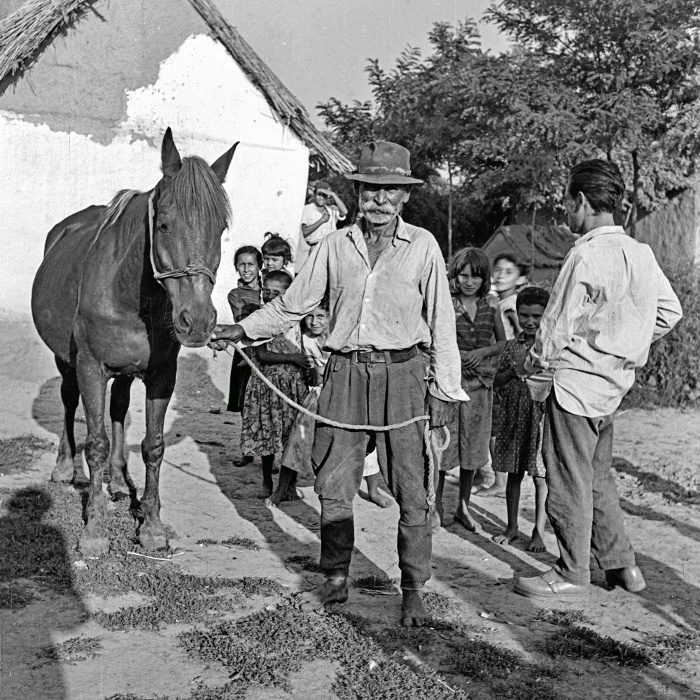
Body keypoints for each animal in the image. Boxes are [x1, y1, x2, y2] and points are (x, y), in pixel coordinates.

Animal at [32, 129, 238, 556]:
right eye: (164, 225)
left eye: (220, 229)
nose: (197, 322)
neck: (126, 292)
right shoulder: (90, 367)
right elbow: (94, 442)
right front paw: (94, 530)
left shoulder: (161, 375)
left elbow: (152, 446)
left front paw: (152, 526)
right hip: (66, 362)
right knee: (68, 401)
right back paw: (64, 468)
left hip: (126, 372)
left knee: (119, 409)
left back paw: (116, 476)